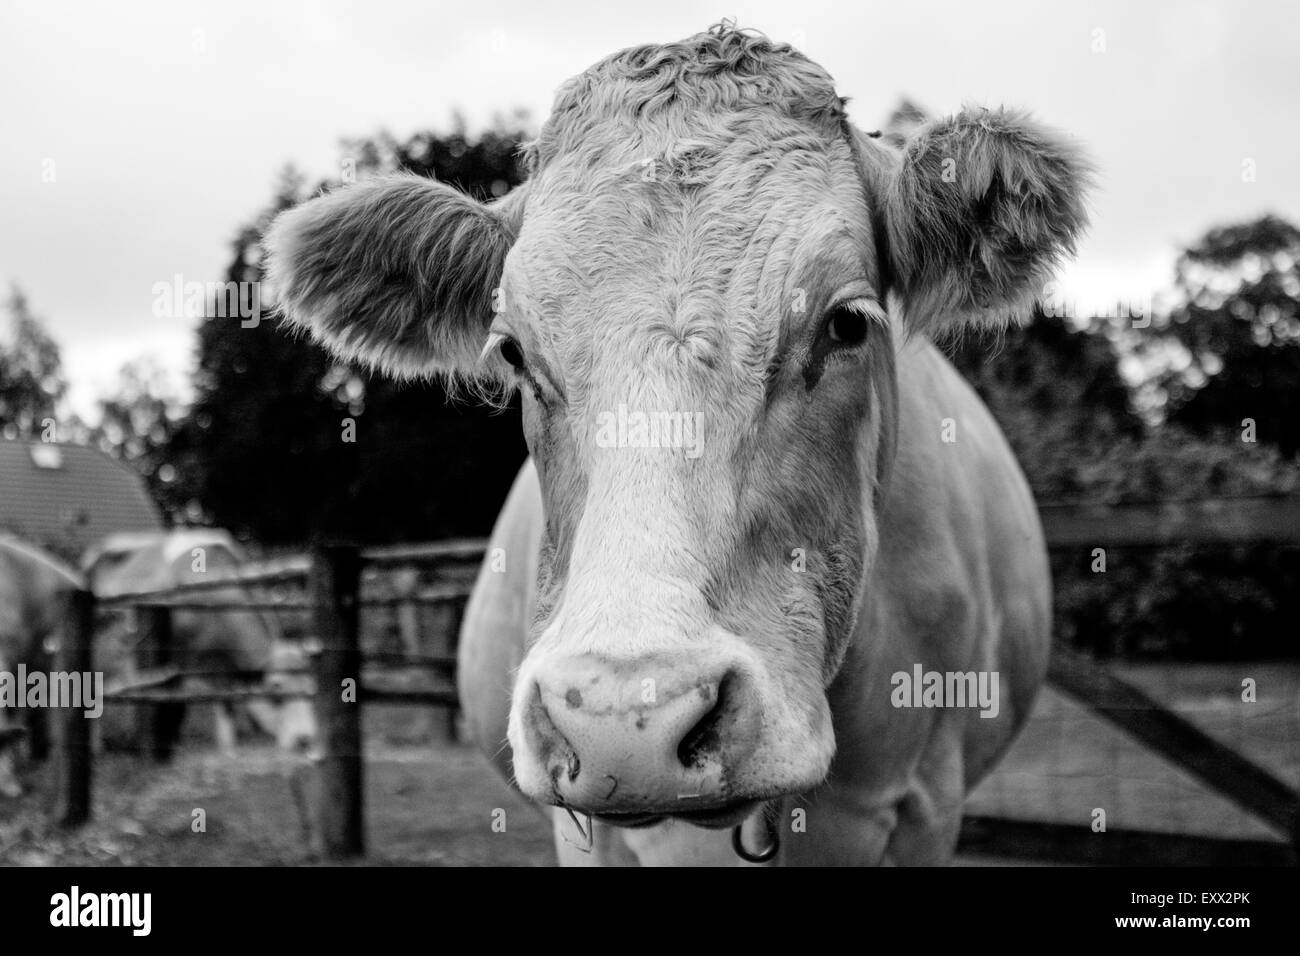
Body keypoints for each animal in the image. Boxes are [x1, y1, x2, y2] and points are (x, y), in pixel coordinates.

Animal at [84, 530, 317, 754]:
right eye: (276, 689)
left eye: (311, 688)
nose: (305, 739)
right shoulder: (175, 662)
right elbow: (174, 702)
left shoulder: (225, 668)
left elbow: (227, 705)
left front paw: (227, 746)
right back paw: (97, 745)